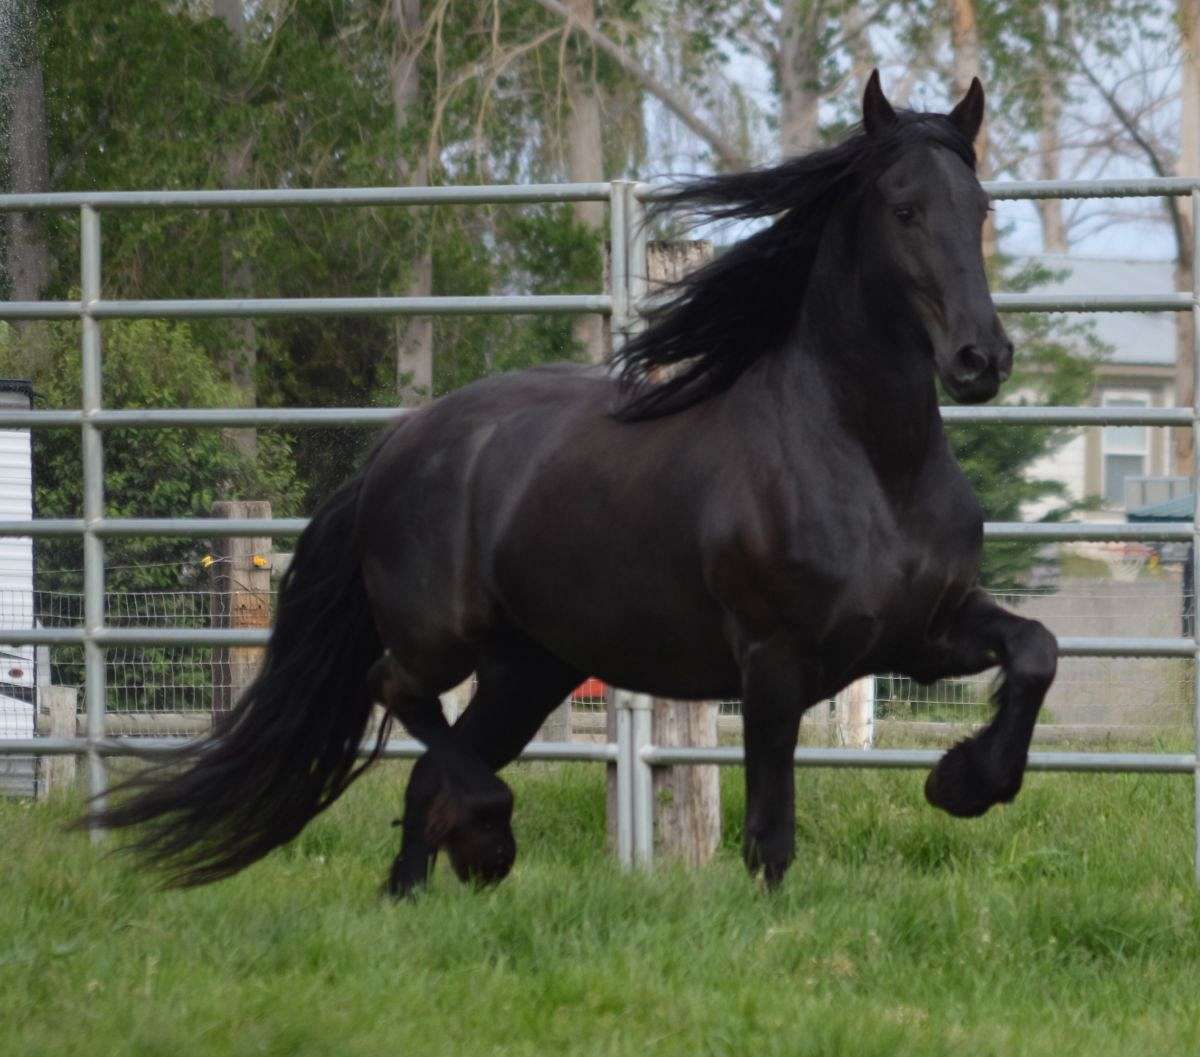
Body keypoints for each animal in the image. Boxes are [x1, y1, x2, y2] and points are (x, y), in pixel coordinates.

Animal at [96, 72, 1060, 892]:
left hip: (531, 666)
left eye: (980, 207)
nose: (982, 357)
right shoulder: (774, 661)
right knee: (396, 693)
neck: (869, 460)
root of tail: (397, 447)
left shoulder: (916, 634)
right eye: (904, 208)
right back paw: (488, 840)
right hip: (447, 637)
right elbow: (770, 834)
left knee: (428, 776)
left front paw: (963, 780)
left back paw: (416, 893)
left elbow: (1036, 649)